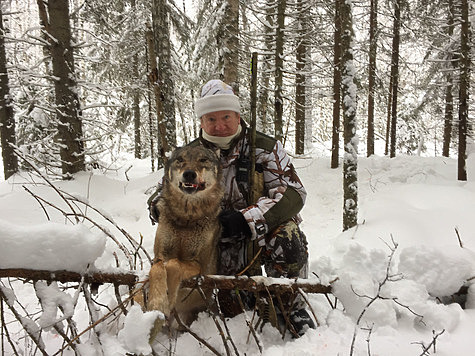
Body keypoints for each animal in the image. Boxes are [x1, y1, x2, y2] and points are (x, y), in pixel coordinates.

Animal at [148, 146, 224, 330]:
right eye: (180, 160)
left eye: (203, 160)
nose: (189, 174)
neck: (186, 218)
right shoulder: (159, 256)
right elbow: (158, 268)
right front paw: (157, 303)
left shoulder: (199, 265)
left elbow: (175, 263)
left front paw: (169, 295)